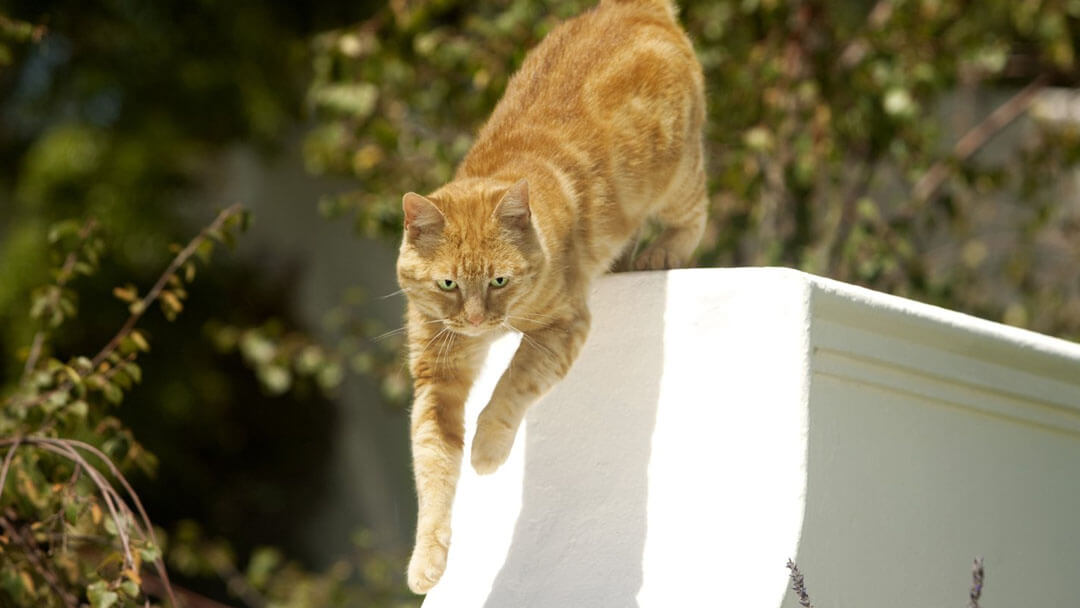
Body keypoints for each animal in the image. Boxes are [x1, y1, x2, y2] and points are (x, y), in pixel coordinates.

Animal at [397, 0, 708, 596]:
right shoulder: (437, 375)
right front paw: (429, 557)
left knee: (695, 213)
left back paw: (661, 252)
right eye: (448, 284)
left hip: (675, 176)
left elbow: (510, 387)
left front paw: (488, 451)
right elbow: (432, 464)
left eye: (499, 281)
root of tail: (634, 7)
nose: (478, 320)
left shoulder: (561, 328)